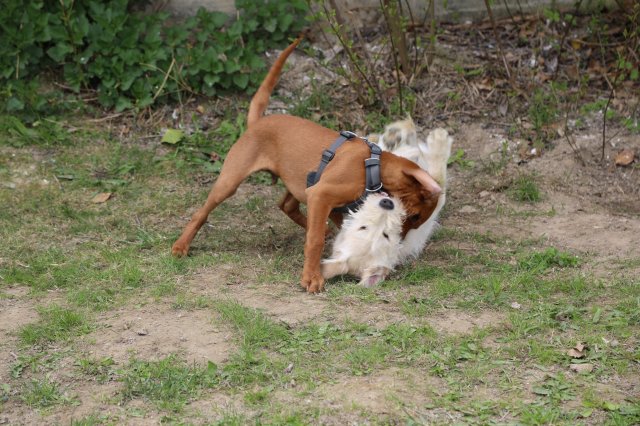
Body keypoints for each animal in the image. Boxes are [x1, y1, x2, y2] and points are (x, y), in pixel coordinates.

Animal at [171, 38, 442, 293]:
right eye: (414, 216)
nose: (400, 244)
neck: (372, 166)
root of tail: (257, 122)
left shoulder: (324, 199)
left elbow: (329, 227)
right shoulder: (322, 194)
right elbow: (315, 240)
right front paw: (311, 277)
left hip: (299, 181)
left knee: (286, 205)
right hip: (231, 180)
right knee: (202, 212)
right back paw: (181, 246)